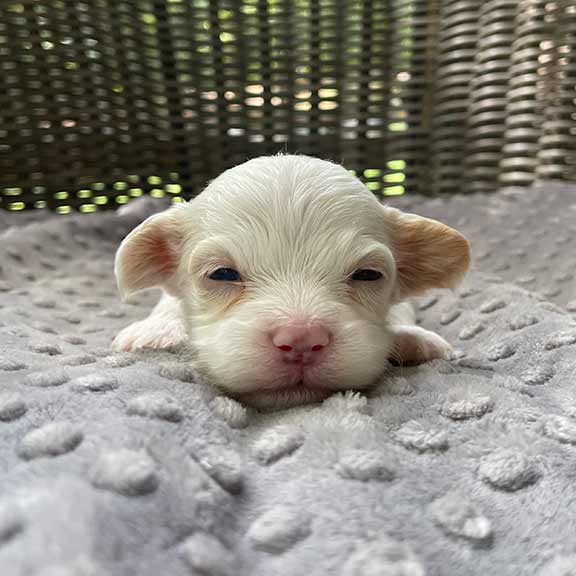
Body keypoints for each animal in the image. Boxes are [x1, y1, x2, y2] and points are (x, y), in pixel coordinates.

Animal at [112, 155, 468, 408]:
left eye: (367, 275)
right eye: (222, 274)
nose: (302, 340)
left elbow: (400, 309)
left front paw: (413, 337)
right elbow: (169, 303)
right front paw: (156, 330)